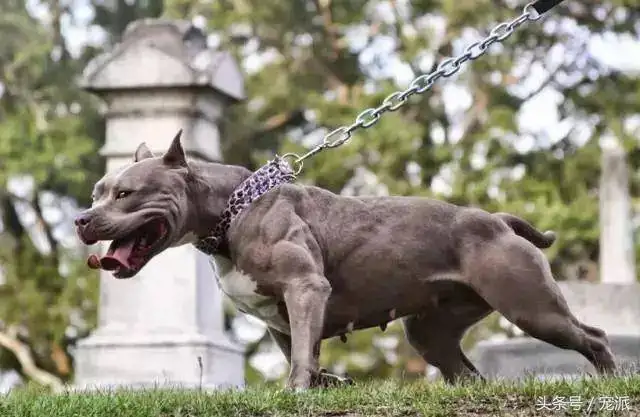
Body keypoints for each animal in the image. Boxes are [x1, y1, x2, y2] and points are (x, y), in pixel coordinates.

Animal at [74, 132, 616, 388]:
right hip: (430, 331)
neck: (231, 211)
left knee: (593, 336)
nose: (81, 219)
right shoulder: (281, 318)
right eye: (97, 192)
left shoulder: (305, 288)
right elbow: (304, 351)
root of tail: (497, 219)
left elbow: (300, 358)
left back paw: (612, 379)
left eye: (125, 193)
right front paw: (324, 382)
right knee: (466, 373)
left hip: (531, 306)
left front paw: (297, 391)